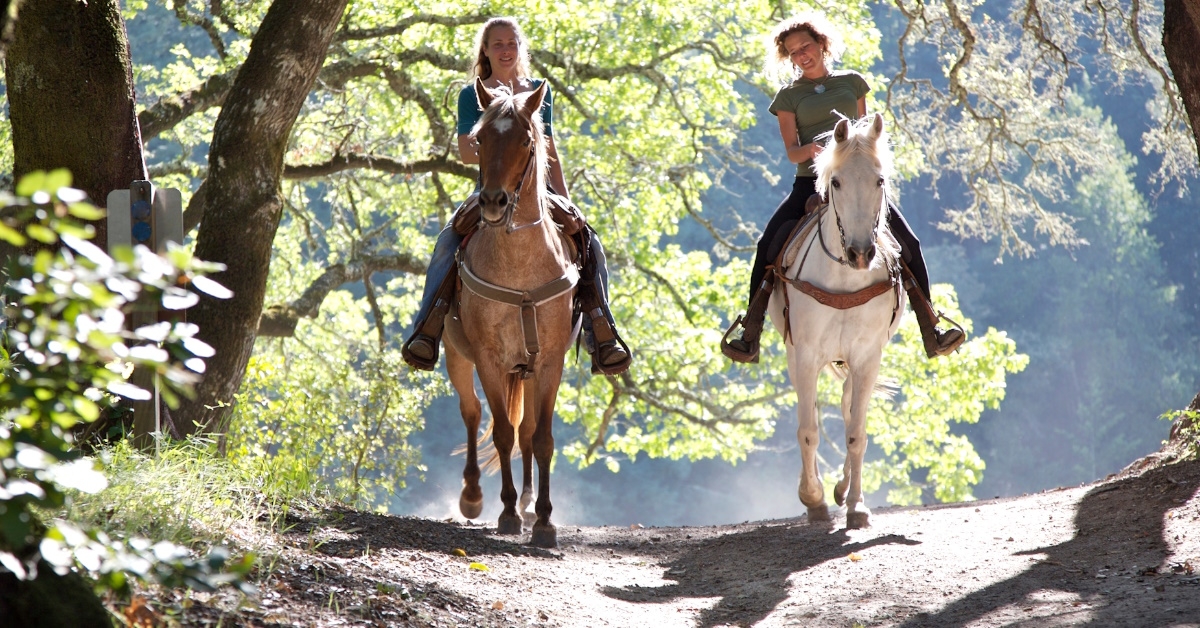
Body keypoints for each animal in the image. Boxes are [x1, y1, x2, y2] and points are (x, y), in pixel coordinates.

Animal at [442, 78, 579, 548]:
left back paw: (528, 501)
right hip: (457, 356)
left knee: (527, 431)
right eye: (480, 139)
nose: (494, 203)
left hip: (528, 371)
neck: (520, 269)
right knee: (471, 413)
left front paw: (544, 522)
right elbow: (500, 432)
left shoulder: (550, 361)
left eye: (526, 140)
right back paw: (472, 496)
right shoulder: (488, 358)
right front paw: (505, 514)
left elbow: (542, 438)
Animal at [766, 113, 906, 529]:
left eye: (879, 180)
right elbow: (808, 430)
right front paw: (812, 499)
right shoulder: (806, 354)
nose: (861, 253)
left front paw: (857, 506)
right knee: (811, 412)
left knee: (846, 409)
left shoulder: (867, 357)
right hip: (795, 355)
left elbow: (856, 432)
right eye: (837, 182)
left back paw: (843, 490)